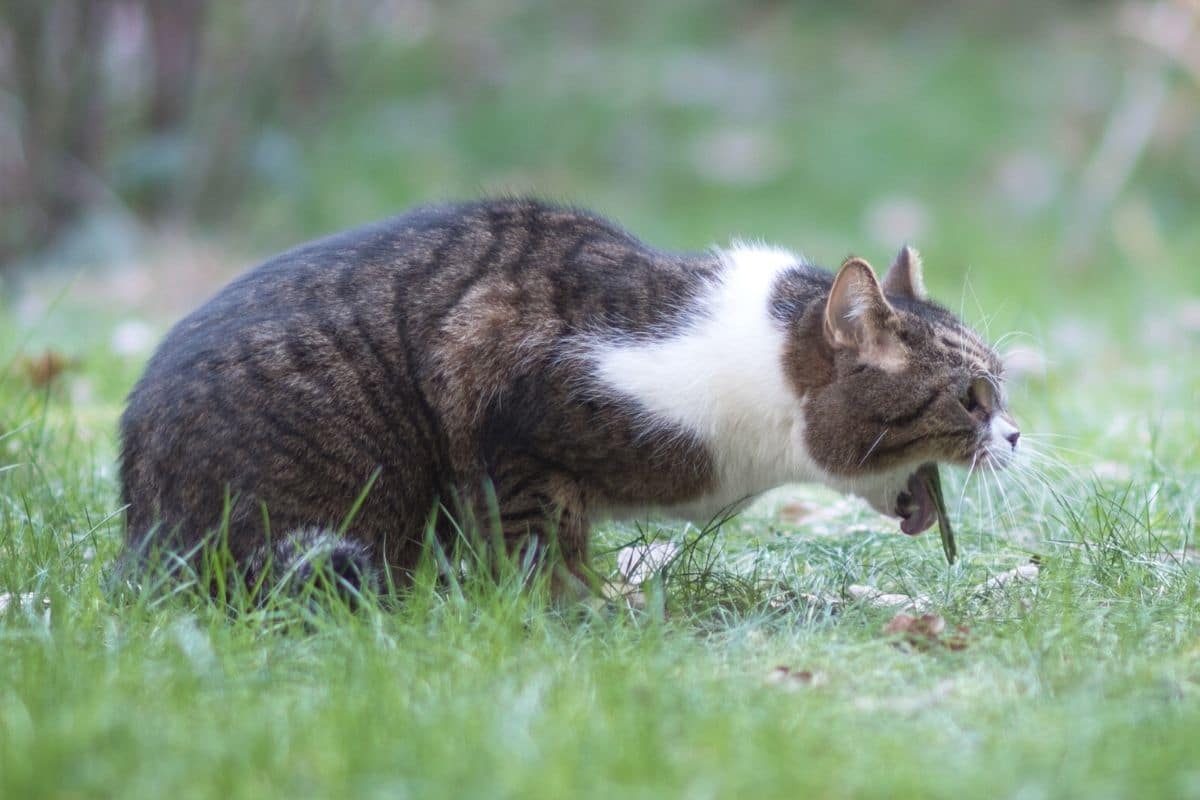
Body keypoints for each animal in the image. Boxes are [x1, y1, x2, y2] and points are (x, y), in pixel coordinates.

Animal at [119, 199, 1022, 597]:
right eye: (973, 397)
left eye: (1001, 388)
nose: (1015, 434)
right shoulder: (507, 404)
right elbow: (539, 542)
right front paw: (576, 614)